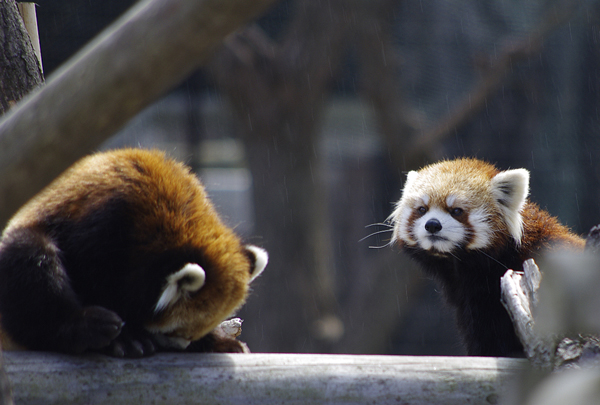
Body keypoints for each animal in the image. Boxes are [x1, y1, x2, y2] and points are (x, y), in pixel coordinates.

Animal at [0, 148, 268, 356]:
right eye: (176, 331)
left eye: (192, 334)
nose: (184, 345)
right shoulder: (102, 225)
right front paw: (127, 338)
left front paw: (216, 341)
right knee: (30, 260)